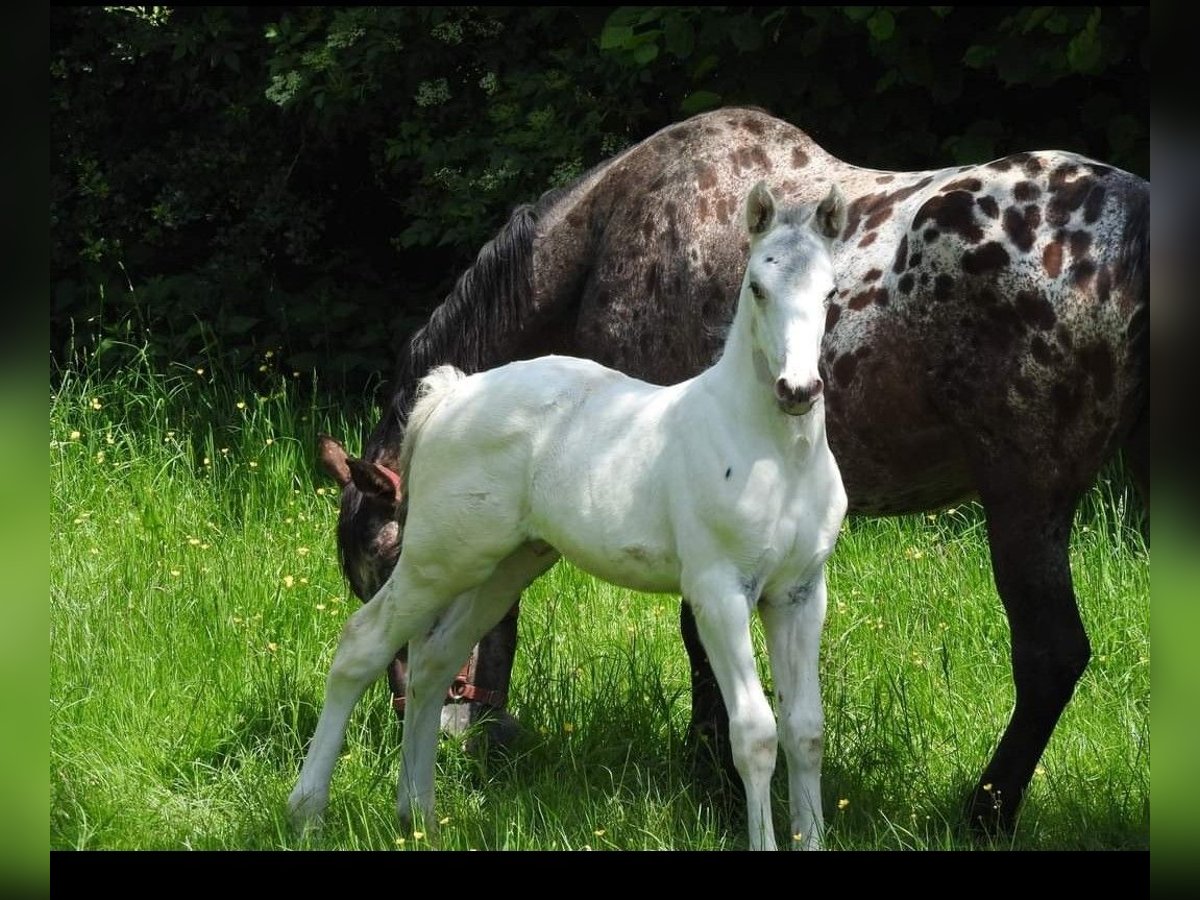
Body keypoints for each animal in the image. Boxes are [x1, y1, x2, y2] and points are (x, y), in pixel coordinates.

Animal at [321, 105, 1152, 830]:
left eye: (381, 562)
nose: (418, 712)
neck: (603, 238)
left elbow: (699, 644)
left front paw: (710, 774)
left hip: (1024, 502)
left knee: (1050, 657)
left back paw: (985, 812)